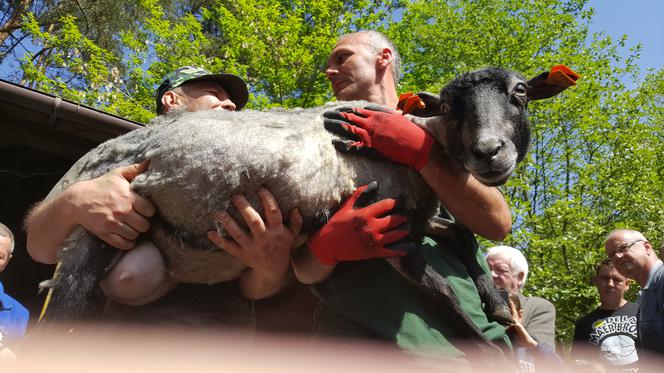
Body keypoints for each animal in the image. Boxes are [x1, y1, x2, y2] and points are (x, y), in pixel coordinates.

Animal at [40, 65, 576, 354]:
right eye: (447, 105)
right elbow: (445, 296)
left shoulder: (417, 216)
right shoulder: (389, 232)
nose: (490, 153)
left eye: (520, 92)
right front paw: (487, 343)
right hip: (95, 235)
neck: (422, 154)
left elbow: (463, 235)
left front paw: (495, 300)